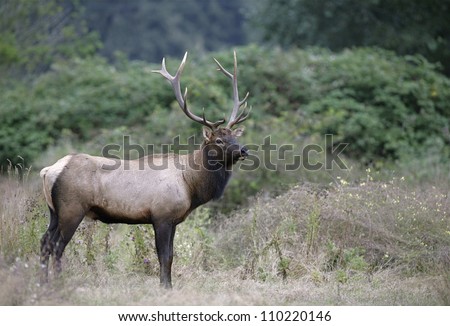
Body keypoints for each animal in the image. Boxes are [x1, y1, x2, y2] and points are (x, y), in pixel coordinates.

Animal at [38, 51, 250, 288]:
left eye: (234, 137)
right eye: (219, 140)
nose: (243, 150)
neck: (190, 185)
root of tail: (48, 171)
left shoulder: (173, 220)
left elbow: (170, 255)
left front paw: (168, 285)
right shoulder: (162, 215)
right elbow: (164, 255)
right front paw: (165, 286)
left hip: (53, 211)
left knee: (44, 241)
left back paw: (42, 282)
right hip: (71, 208)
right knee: (57, 245)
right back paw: (57, 282)